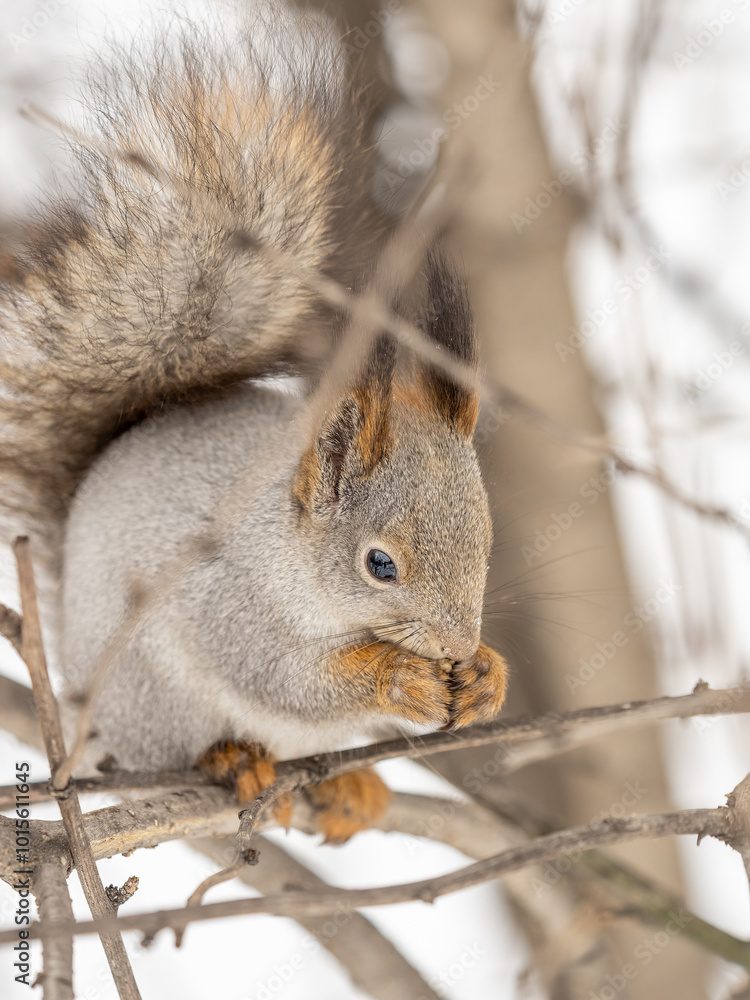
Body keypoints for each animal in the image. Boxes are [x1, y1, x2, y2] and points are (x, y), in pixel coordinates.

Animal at [0, 4, 508, 843]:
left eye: (486, 540)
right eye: (380, 565)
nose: (454, 645)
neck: (290, 547)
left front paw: (489, 676)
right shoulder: (229, 600)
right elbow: (283, 677)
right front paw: (399, 677)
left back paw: (352, 784)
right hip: (153, 699)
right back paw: (234, 759)